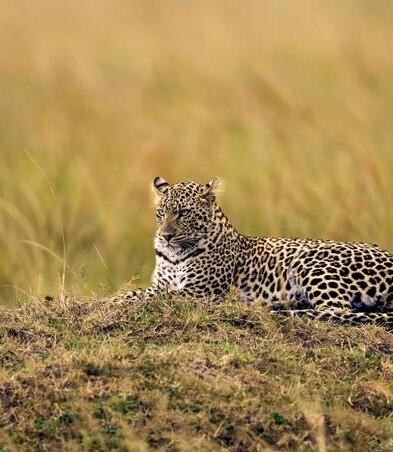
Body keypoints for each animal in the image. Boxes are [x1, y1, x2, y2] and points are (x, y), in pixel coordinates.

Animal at [118, 177, 392, 328]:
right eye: (161, 213)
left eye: (184, 213)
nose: (165, 236)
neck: (174, 255)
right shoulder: (162, 283)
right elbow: (137, 292)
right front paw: (118, 298)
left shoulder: (201, 292)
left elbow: (156, 297)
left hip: (313, 261)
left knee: (336, 311)